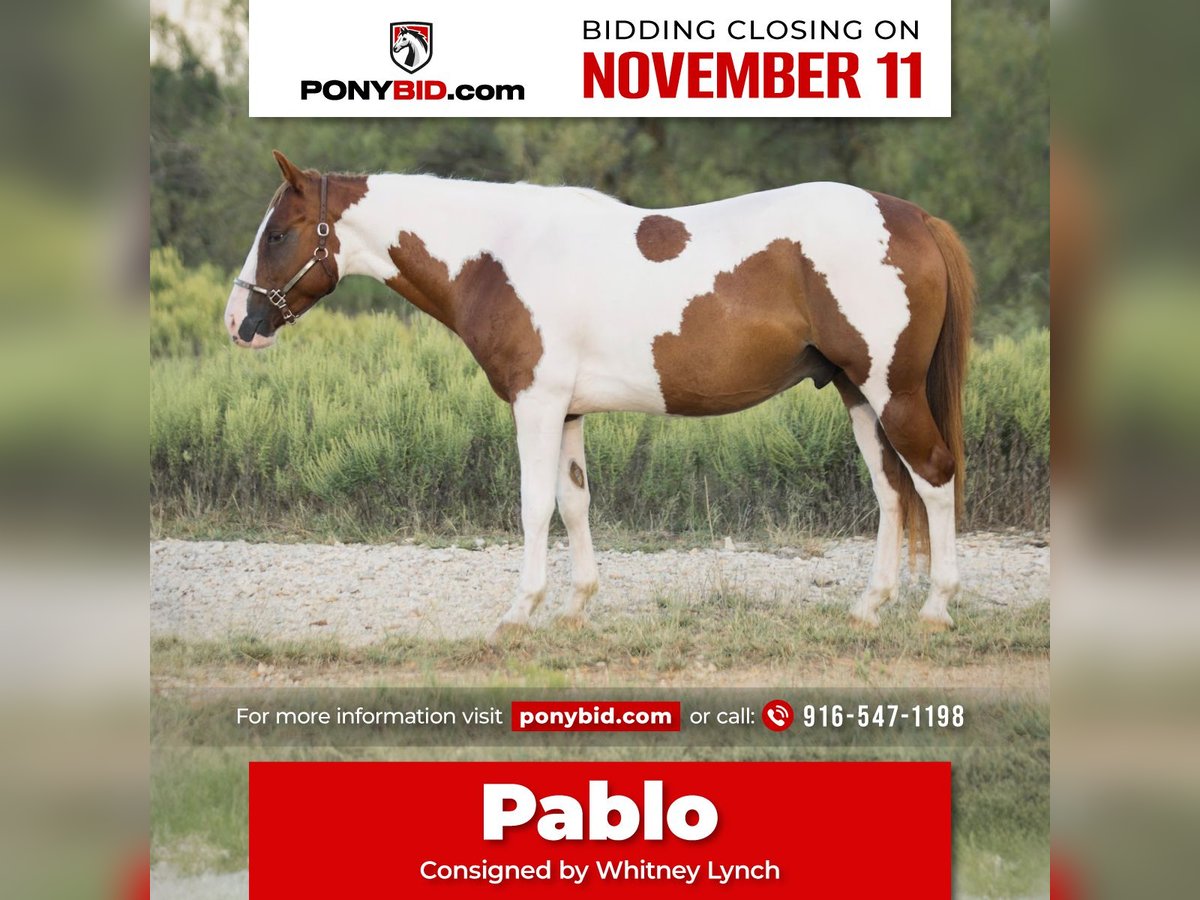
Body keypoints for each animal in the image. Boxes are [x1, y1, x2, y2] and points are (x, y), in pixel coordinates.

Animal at [226, 151, 974, 637]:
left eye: (280, 232)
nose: (240, 323)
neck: (497, 256)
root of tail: (911, 217)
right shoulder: (568, 410)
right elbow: (574, 502)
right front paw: (576, 605)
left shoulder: (535, 403)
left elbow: (533, 507)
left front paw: (519, 612)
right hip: (857, 393)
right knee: (890, 491)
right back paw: (871, 606)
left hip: (892, 391)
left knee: (933, 477)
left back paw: (936, 609)